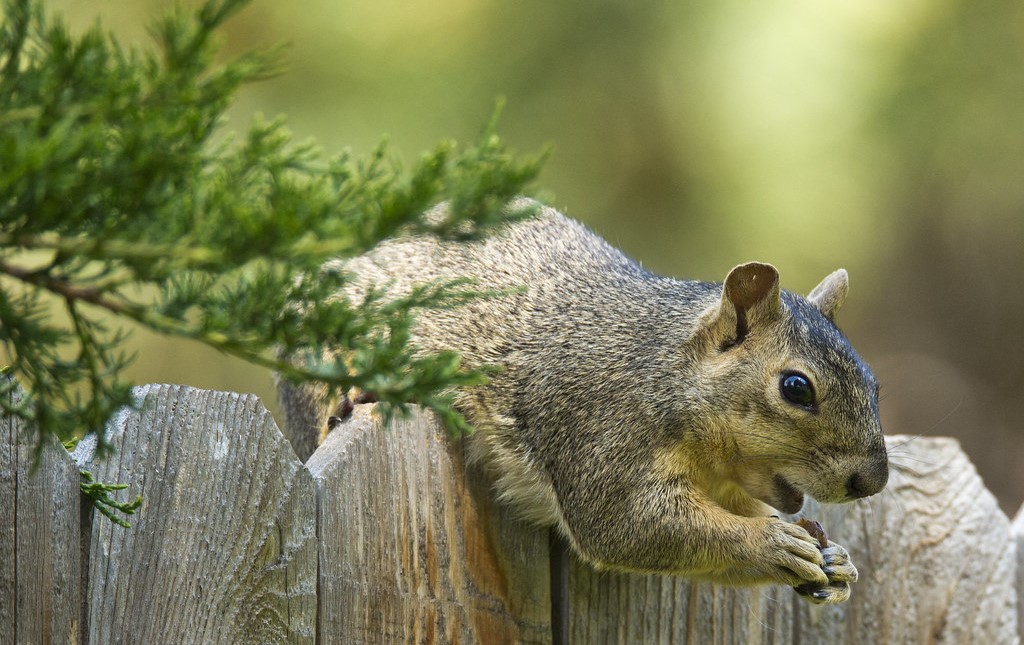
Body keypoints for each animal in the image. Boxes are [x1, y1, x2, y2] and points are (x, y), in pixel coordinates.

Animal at [278, 199, 888, 606]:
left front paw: (835, 562)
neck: (663, 373)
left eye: (875, 384)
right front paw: (771, 543)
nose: (873, 481)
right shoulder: (599, 430)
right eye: (796, 388)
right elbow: (628, 526)